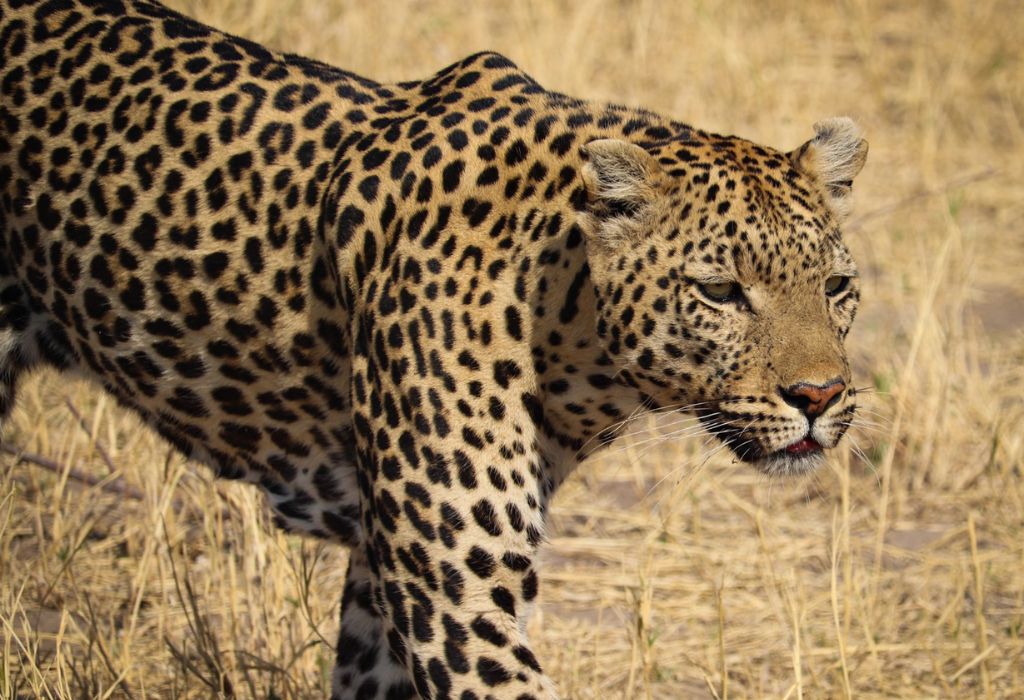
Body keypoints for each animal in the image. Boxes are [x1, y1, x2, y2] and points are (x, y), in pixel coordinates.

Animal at [0, 2, 868, 695]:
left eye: (835, 286)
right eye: (720, 292)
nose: (820, 397)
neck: (564, 318)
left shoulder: (382, 579)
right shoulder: (456, 594)